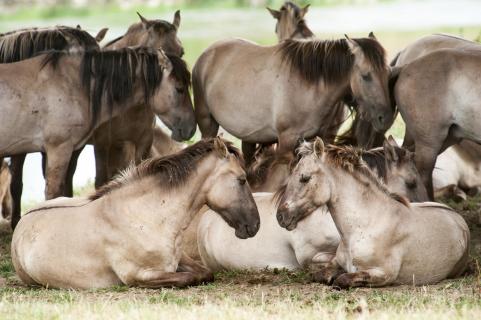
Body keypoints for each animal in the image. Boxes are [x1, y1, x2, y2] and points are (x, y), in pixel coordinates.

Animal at [11, 138, 258, 290]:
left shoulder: (179, 261)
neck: (147, 216)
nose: (255, 225)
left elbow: (205, 273)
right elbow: (190, 278)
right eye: (242, 179)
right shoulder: (137, 275)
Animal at [192, 33, 394, 165]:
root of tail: (207, 54)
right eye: (366, 76)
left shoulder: (325, 139)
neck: (310, 88)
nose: (385, 118)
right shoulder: (286, 144)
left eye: (388, 73)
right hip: (207, 124)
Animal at [276, 138, 466, 288]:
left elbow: (343, 279)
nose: (280, 216)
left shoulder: (384, 274)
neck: (364, 226)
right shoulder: (336, 262)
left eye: (304, 178)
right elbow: (319, 275)